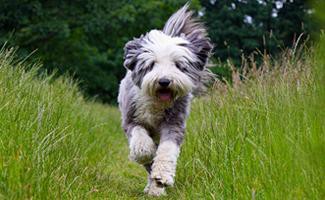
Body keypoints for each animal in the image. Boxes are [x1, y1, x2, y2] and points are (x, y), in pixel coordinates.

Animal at [116, 3, 213, 196]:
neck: (156, 102)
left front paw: (161, 177)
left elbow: (167, 150)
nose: (164, 81)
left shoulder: (174, 123)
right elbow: (141, 142)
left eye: (178, 65)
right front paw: (145, 152)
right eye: (152, 64)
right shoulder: (131, 118)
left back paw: (156, 188)